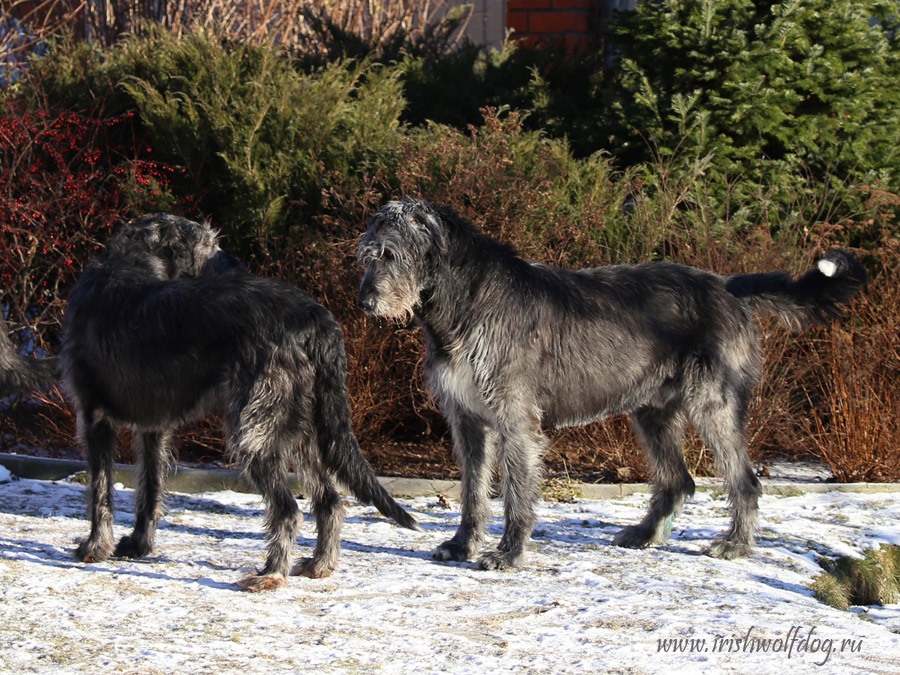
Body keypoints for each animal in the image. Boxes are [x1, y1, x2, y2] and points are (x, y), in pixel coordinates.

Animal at [61, 215, 420, 592]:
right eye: (208, 245)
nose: (240, 266)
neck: (132, 262)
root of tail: (316, 317)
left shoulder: (94, 416)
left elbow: (99, 490)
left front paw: (94, 547)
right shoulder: (154, 425)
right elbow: (150, 486)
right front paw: (137, 545)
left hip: (254, 428)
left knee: (287, 509)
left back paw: (272, 573)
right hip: (306, 426)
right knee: (330, 500)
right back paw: (319, 564)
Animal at [356, 199, 864, 572]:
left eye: (392, 254)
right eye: (366, 255)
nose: (364, 303)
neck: (468, 299)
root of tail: (728, 285)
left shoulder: (516, 421)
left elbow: (516, 492)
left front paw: (508, 553)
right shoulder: (467, 421)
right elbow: (472, 491)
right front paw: (461, 545)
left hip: (713, 404)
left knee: (745, 480)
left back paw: (735, 545)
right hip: (653, 411)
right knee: (678, 480)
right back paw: (643, 535)